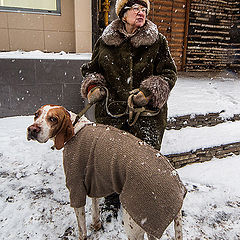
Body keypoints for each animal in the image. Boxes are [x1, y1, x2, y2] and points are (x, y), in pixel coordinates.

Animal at [27, 104, 187, 239]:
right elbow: (95, 207)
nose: (32, 129)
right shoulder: (93, 180)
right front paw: (96, 225)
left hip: (134, 222)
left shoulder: (76, 185)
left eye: (53, 119)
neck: (75, 128)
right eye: (36, 114)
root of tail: (178, 186)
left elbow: (81, 229)